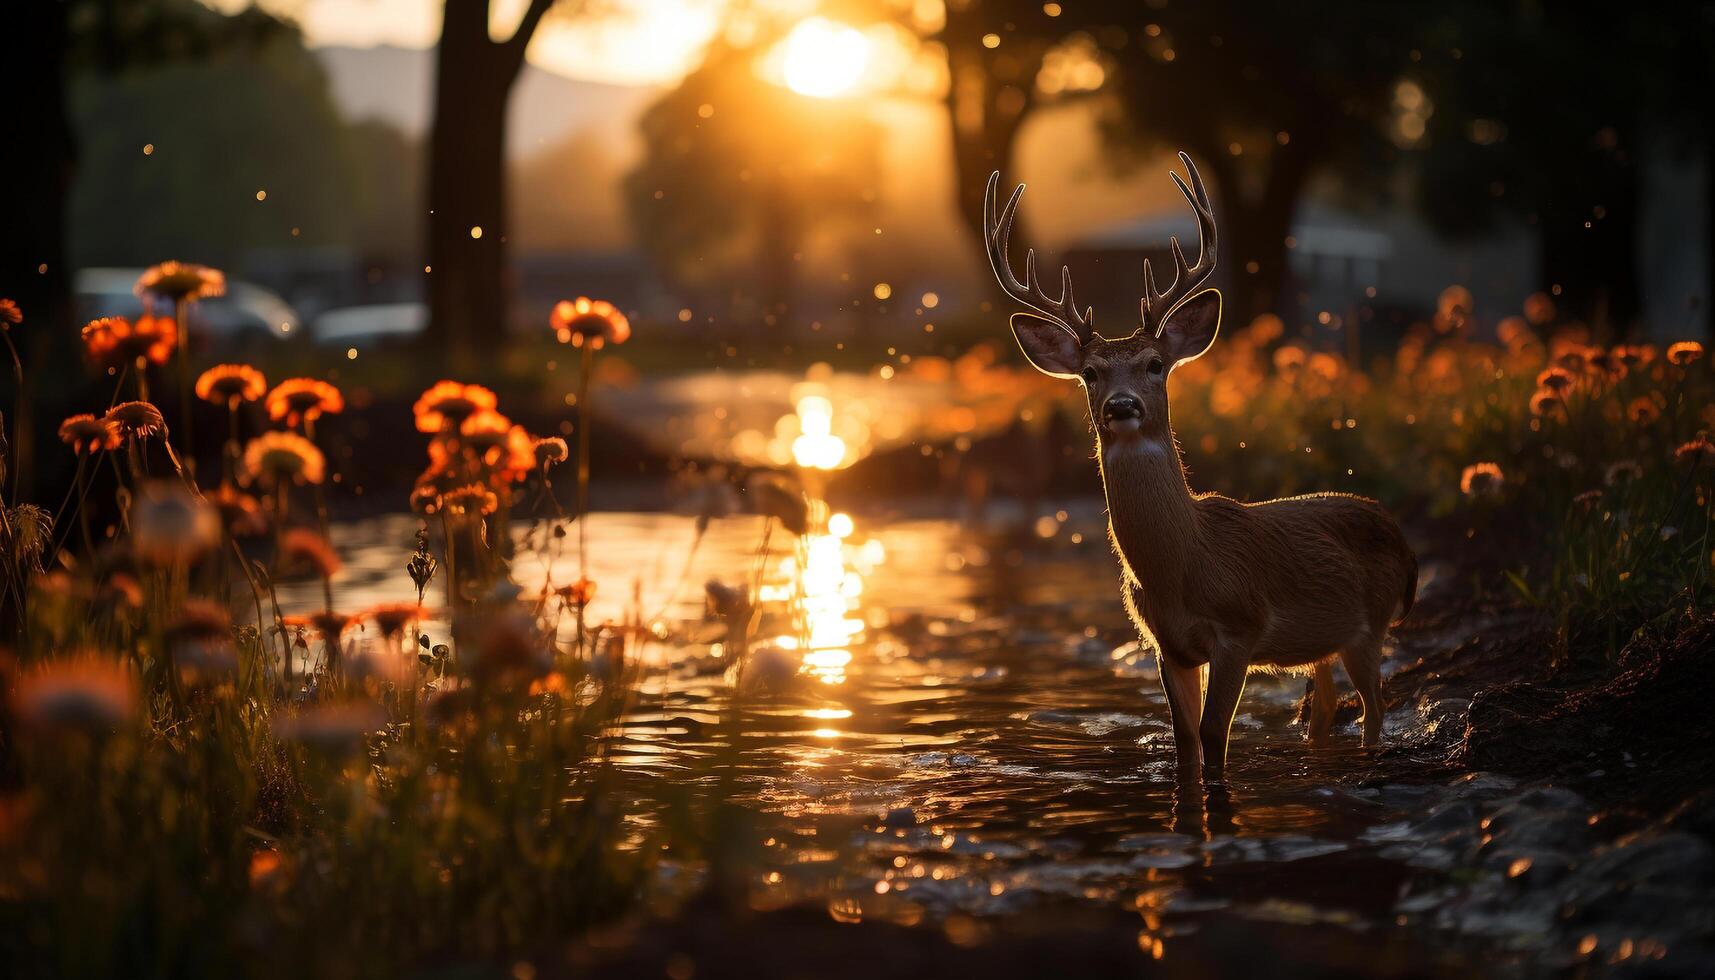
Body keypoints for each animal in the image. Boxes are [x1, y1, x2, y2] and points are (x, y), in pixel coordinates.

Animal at [987, 153, 1413, 786]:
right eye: (1090, 372)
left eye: (1155, 364)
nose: (1122, 406)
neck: (1182, 564)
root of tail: (1402, 536)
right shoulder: (1169, 647)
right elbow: (1185, 740)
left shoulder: (1240, 628)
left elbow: (1215, 736)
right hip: (1326, 643)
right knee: (1324, 709)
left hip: (1372, 623)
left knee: (1376, 707)